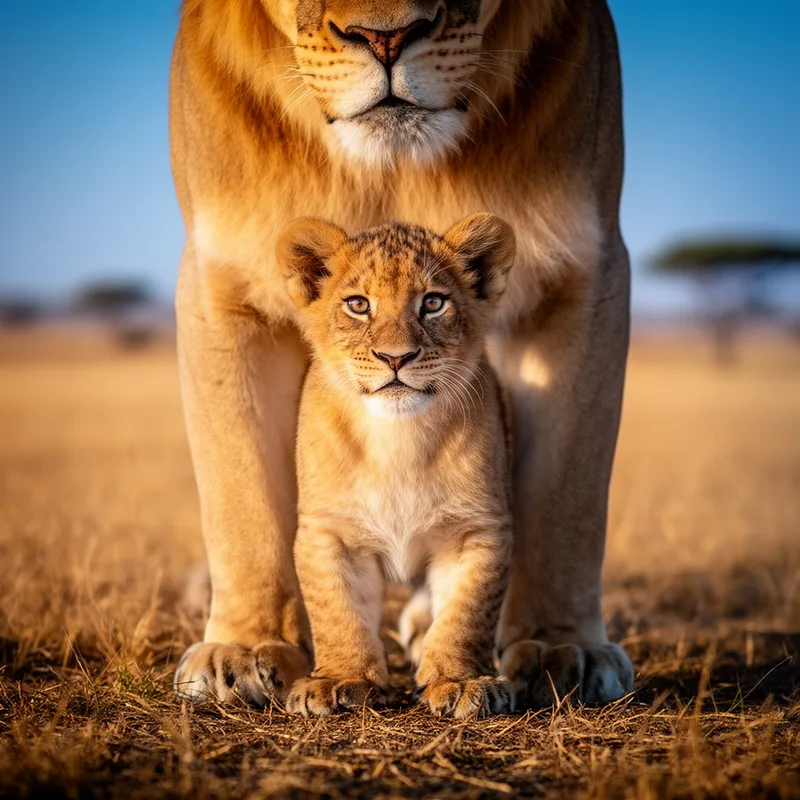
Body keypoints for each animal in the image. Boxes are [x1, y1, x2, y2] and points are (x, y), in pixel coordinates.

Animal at [278, 214, 515, 718]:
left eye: (433, 303)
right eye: (358, 304)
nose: (395, 357)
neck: (397, 440)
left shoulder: (478, 529)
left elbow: (467, 612)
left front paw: (459, 680)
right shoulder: (329, 531)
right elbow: (337, 610)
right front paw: (341, 678)